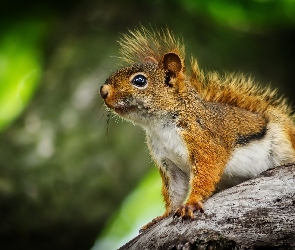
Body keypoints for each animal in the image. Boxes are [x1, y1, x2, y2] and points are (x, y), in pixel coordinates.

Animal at [99, 26, 295, 230]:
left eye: (139, 81)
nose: (103, 91)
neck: (159, 126)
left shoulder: (205, 142)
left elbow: (205, 173)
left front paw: (191, 203)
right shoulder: (167, 162)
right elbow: (174, 191)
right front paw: (162, 216)